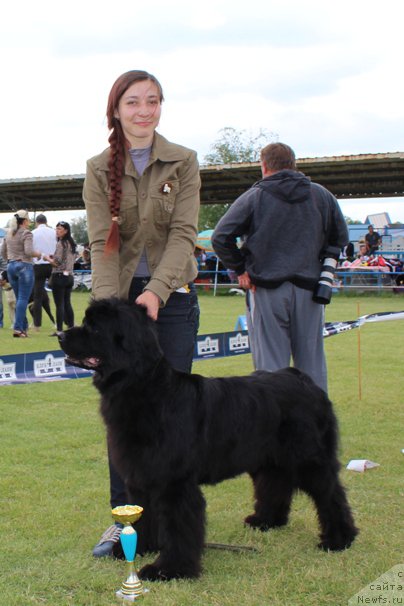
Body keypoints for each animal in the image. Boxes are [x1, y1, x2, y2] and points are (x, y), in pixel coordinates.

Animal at [59, 300, 356, 584]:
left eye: (95, 328)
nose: (60, 334)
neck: (146, 390)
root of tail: (302, 378)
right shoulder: (142, 479)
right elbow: (144, 518)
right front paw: (135, 549)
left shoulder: (174, 483)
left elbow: (178, 527)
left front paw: (169, 570)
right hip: (270, 458)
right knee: (276, 482)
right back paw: (266, 520)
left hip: (308, 457)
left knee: (330, 494)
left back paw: (339, 539)